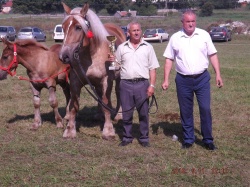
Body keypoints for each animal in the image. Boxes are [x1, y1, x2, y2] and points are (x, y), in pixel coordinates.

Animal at [58, 2, 125, 140]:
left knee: (118, 93)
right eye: (63, 27)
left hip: (118, 78)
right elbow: (74, 106)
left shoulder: (106, 81)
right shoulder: (75, 81)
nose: (64, 56)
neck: (91, 54)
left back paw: (119, 114)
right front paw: (70, 130)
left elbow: (106, 103)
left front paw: (108, 131)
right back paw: (99, 115)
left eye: (78, 27)